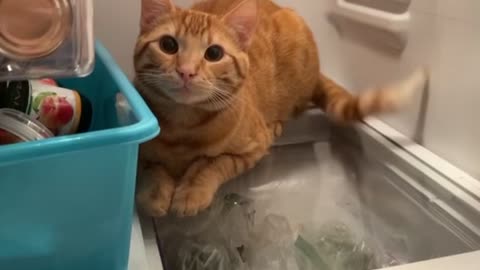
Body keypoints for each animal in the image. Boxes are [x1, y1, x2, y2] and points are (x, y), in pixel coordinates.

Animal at [133, 0, 426, 216]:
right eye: (168, 45)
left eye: (214, 53)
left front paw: (192, 190)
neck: (184, 127)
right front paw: (154, 193)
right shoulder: (144, 151)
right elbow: (152, 168)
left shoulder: (252, 149)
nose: (186, 71)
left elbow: (212, 163)